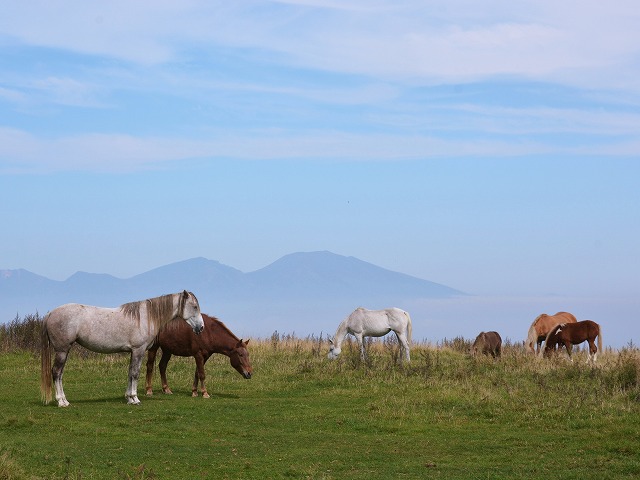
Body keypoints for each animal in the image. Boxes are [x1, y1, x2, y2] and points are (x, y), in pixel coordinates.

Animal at [40, 291, 204, 407]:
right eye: (195, 307)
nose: (201, 327)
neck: (145, 317)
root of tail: (50, 314)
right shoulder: (138, 350)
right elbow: (135, 373)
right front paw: (135, 398)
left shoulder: (133, 352)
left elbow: (130, 373)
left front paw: (128, 398)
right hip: (62, 350)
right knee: (56, 373)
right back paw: (61, 401)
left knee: (60, 374)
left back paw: (65, 400)